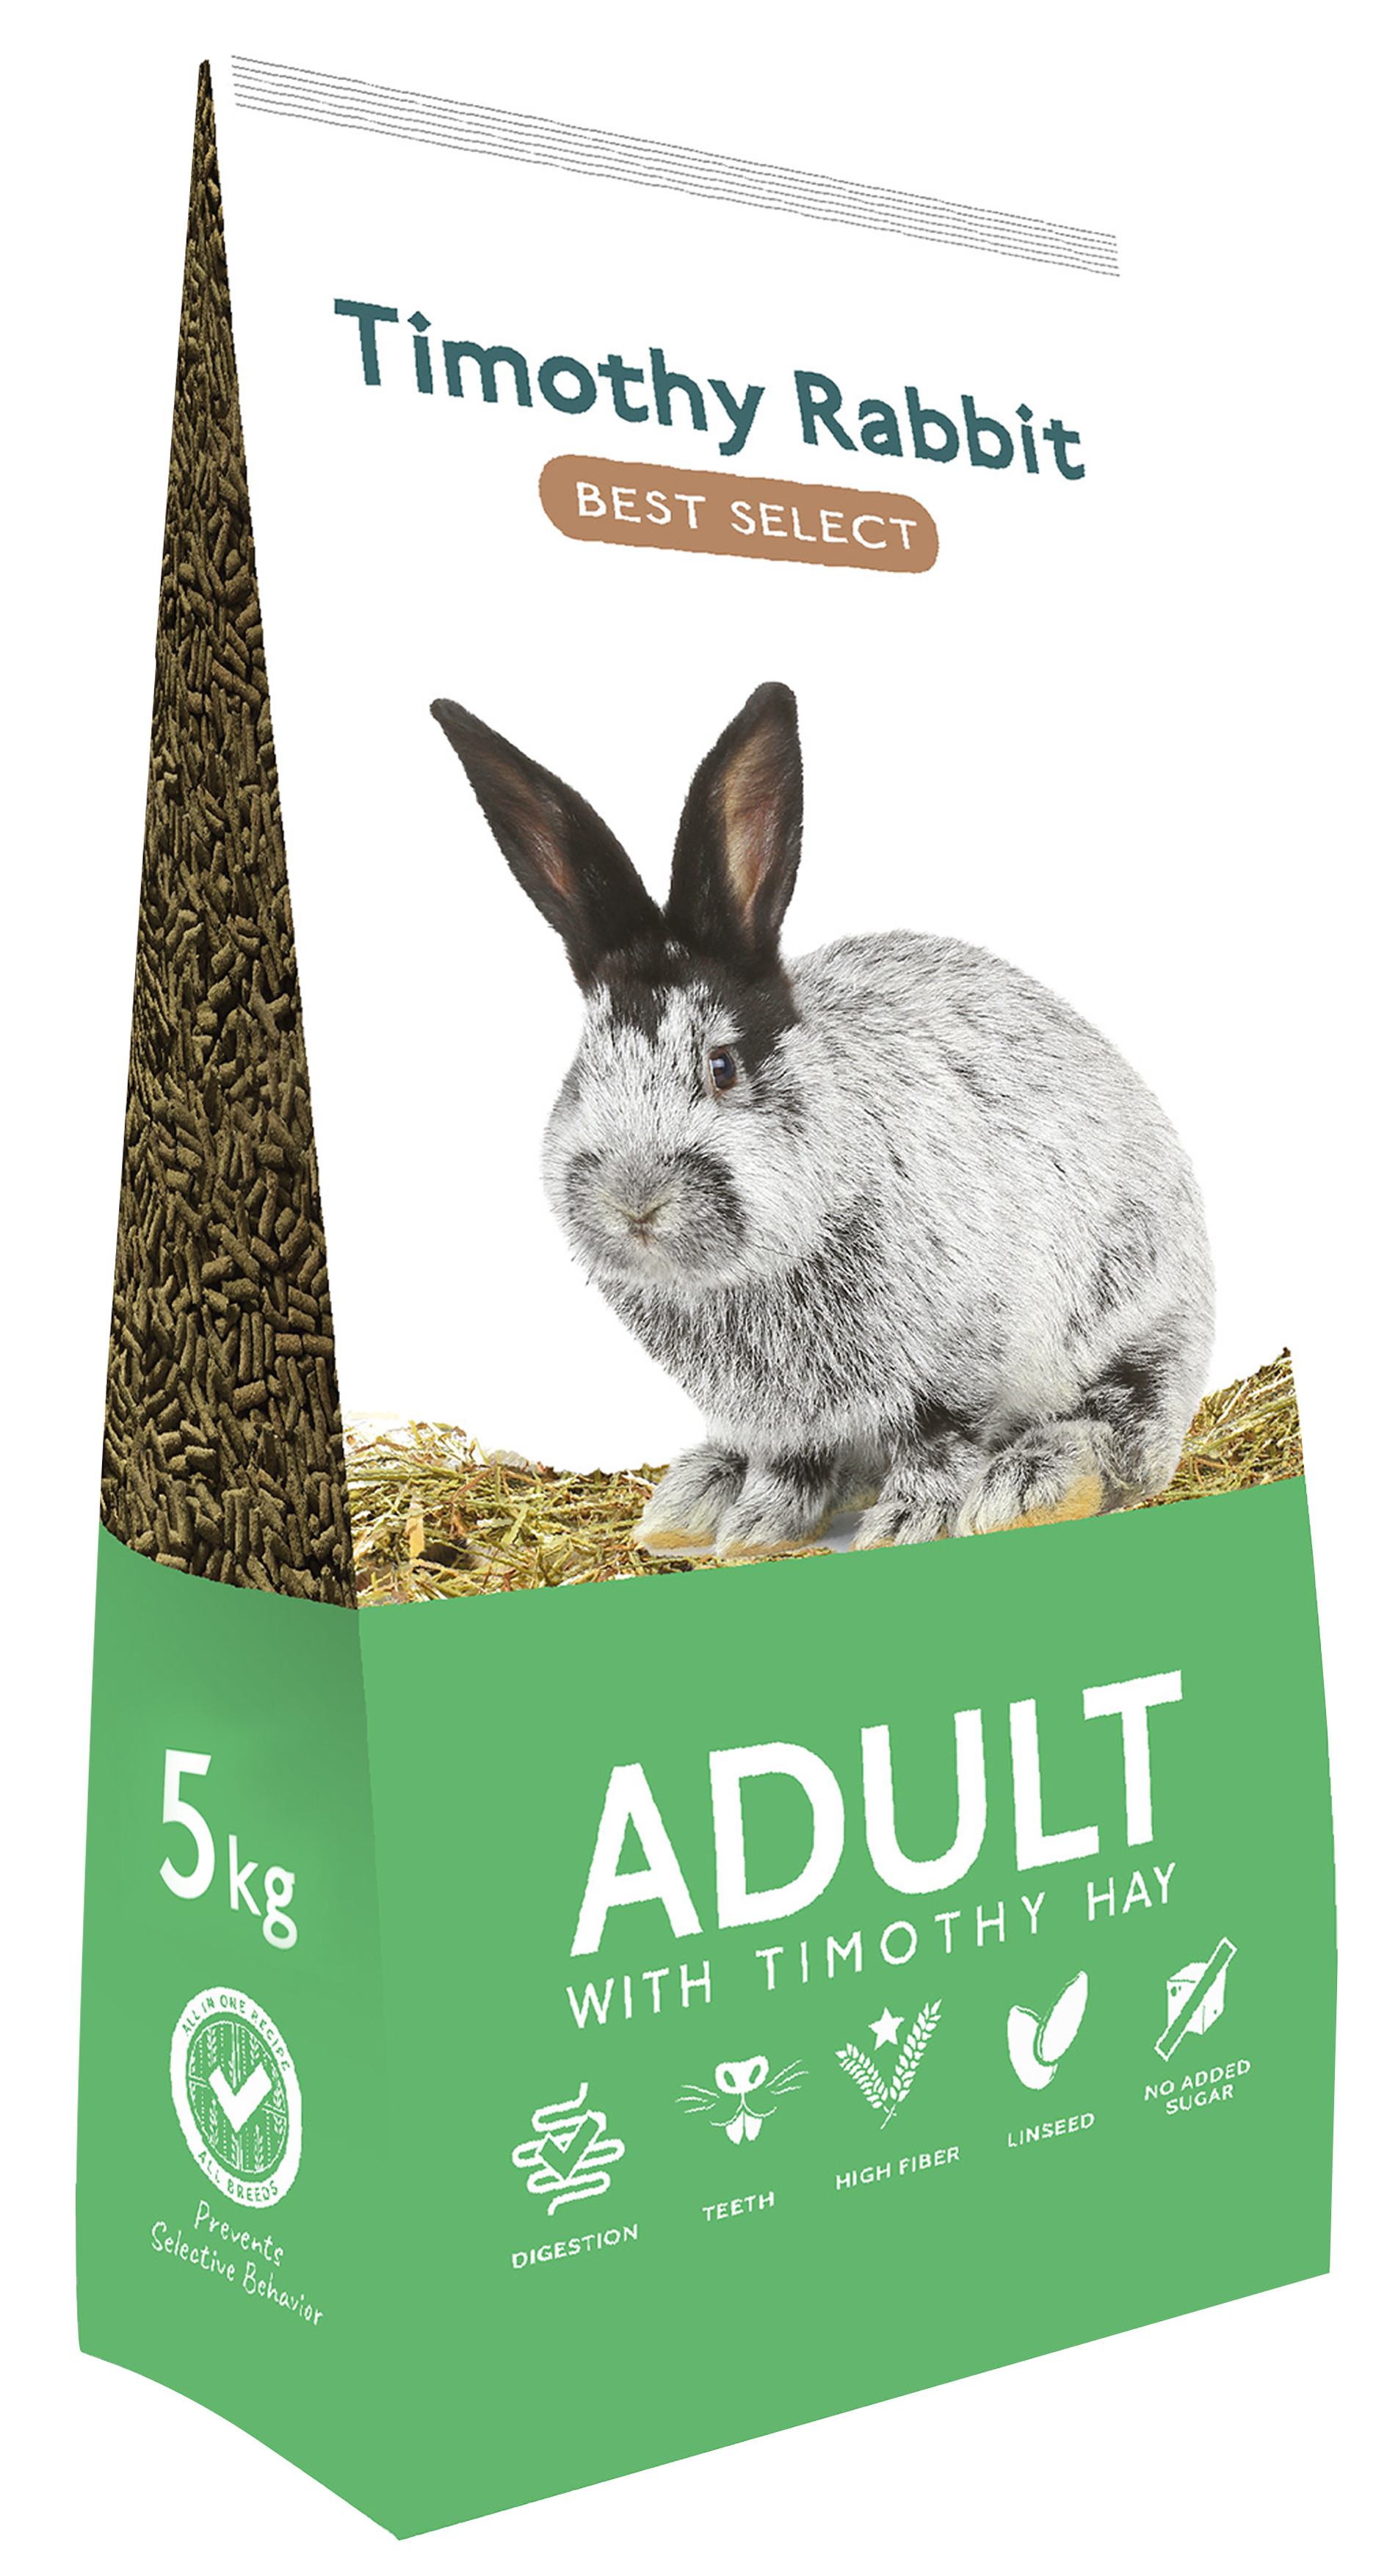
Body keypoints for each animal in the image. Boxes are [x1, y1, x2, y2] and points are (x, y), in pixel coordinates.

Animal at [431, 682, 1214, 1556]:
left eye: (722, 1066)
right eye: (579, 1071)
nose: (633, 1201)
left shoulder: (957, 1362)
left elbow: (939, 1444)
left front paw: (903, 1527)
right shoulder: (783, 1421)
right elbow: (790, 1465)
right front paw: (754, 1532)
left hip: (1133, 1317)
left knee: (1129, 1430)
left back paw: (1033, 1486)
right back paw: (692, 1500)